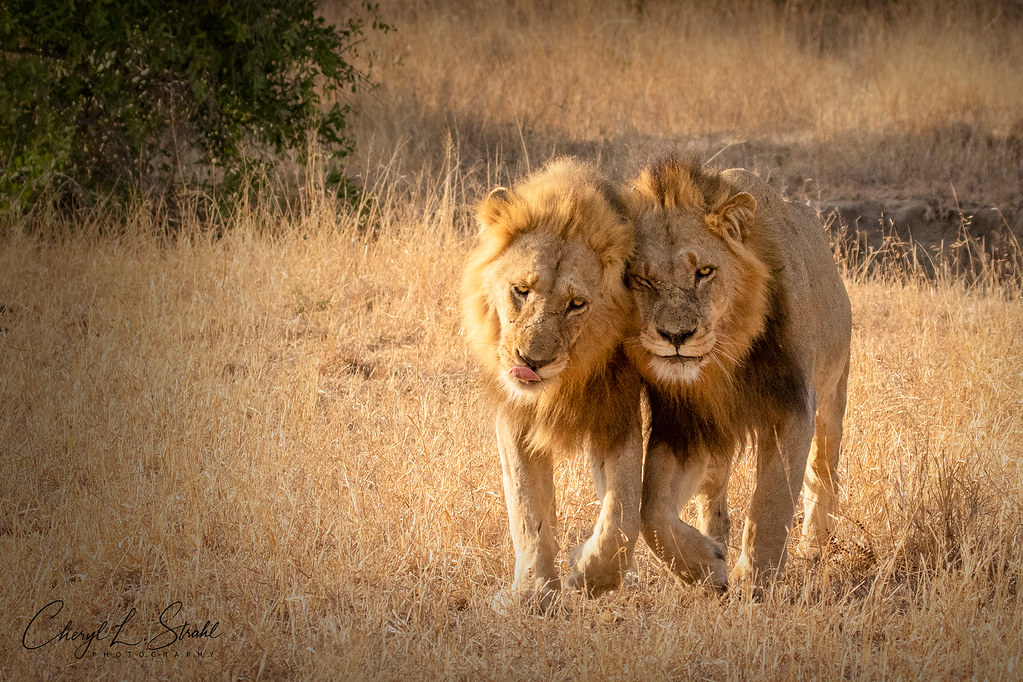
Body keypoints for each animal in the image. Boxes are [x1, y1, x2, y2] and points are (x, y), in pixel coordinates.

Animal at [461, 158, 643, 609]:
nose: (532, 363)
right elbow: (528, 511)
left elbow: (623, 513)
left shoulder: (617, 411)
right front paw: (533, 593)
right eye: (520, 290)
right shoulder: (516, 416)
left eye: (576, 304)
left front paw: (590, 575)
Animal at [623, 154, 852, 590]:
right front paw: (705, 567)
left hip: (835, 391)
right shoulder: (687, 422)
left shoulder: (792, 409)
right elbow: (651, 511)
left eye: (705, 272)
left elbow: (771, 504)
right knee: (713, 493)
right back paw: (715, 539)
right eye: (641, 279)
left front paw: (757, 579)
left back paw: (816, 543)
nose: (676, 336)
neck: (724, 360)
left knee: (823, 470)